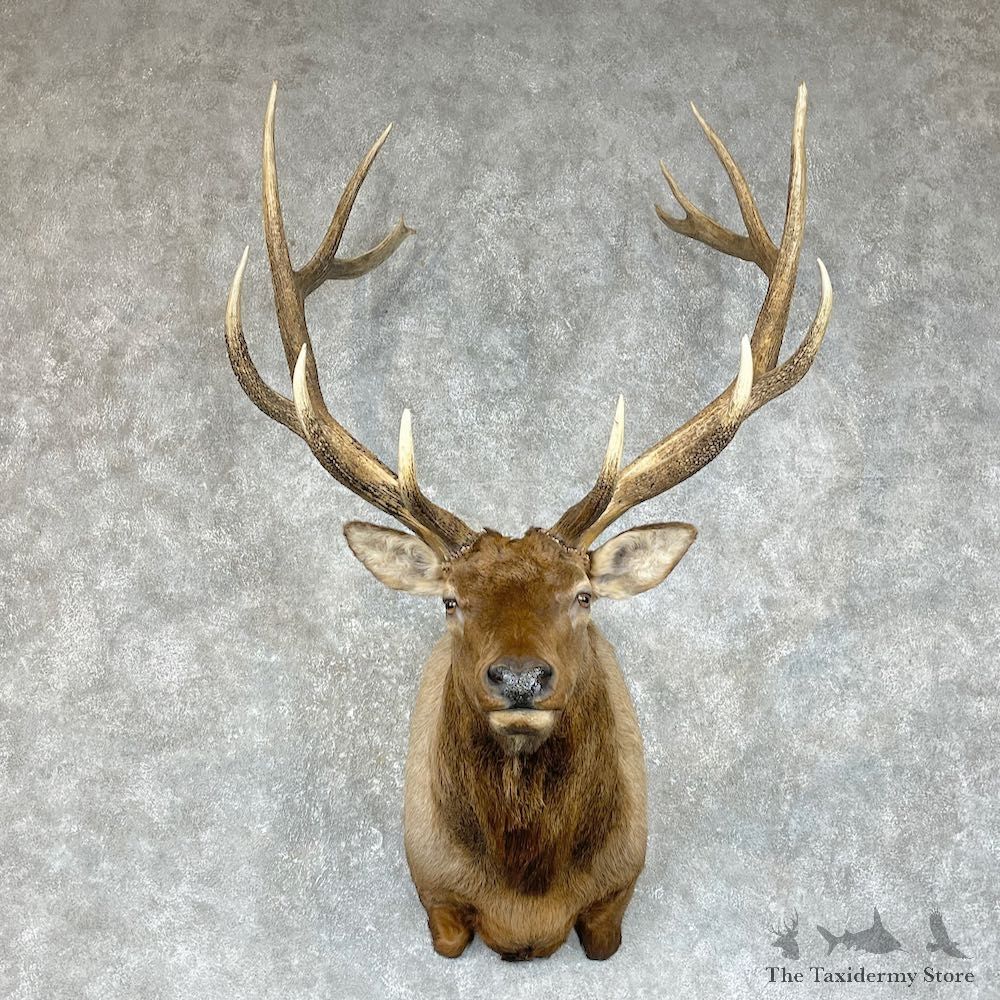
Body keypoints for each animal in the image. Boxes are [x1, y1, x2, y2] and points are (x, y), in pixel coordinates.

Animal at [224, 81, 832, 962]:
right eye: (450, 601)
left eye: (583, 595)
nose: (518, 679)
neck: (526, 901)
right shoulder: (437, 897)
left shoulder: (616, 897)